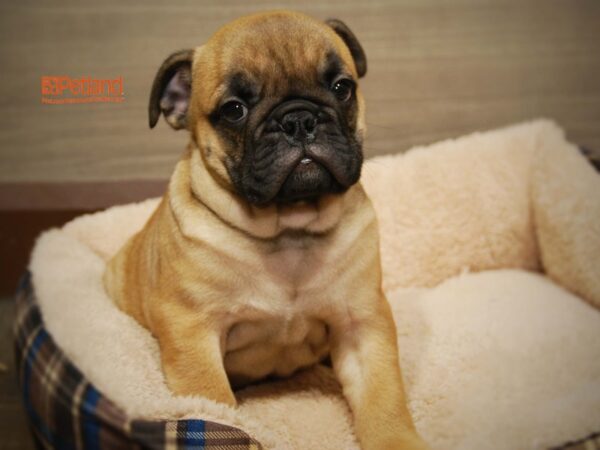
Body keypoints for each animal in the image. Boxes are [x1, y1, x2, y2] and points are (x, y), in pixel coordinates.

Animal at [105, 10, 428, 450]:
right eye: (234, 109)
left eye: (341, 88)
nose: (299, 119)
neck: (288, 228)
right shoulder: (193, 333)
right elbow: (212, 400)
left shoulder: (362, 324)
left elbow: (383, 399)